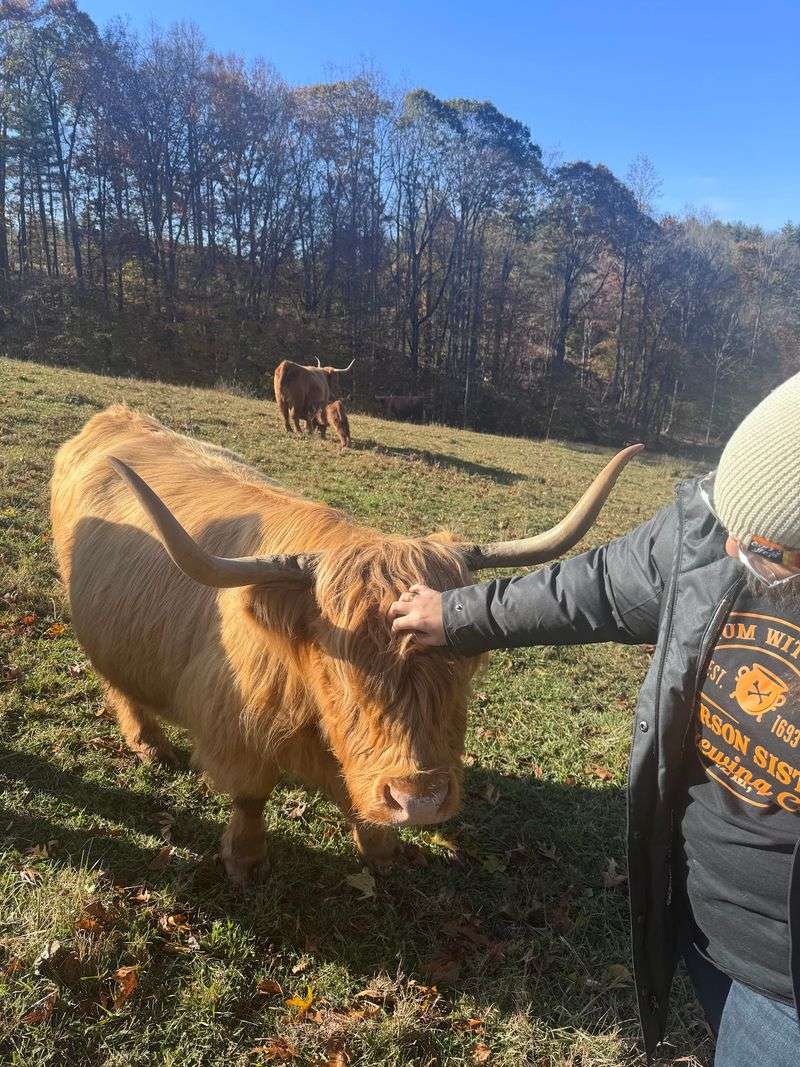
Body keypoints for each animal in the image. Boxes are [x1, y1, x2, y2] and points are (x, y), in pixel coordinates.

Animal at [50, 405, 641, 885]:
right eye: (343, 670)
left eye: (465, 665)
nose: (420, 800)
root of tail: (114, 416)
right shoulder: (237, 725)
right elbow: (250, 796)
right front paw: (245, 862)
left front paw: (382, 851)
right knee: (118, 684)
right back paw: (150, 743)